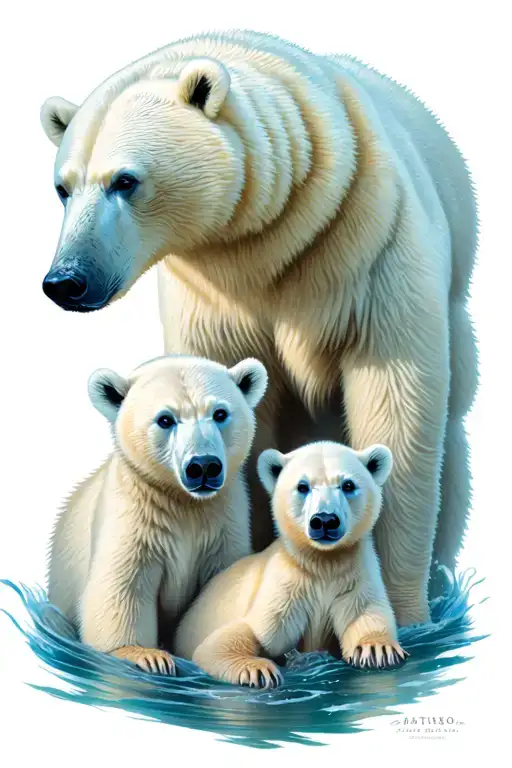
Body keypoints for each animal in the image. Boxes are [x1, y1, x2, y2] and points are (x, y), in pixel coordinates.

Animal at [40, 30, 478, 626]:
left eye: (124, 181)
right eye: (63, 188)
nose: (66, 281)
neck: (272, 240)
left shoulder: (372, 249)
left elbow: (396, 396)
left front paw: (403, 611)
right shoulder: (214, 293)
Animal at [47, 353, 267, 674]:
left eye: (220, 413)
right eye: (165, 419)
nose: (203, 466)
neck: (184, 502)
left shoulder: (224, 523)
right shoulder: (136, 516)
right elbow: (122, 584)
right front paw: (143, 655)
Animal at [174, 440, 407, 688]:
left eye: (348, 484)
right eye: (302, 486)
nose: (325, 520)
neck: (323, 562)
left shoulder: (354, 574)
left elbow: (363, 613)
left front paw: (377, 649)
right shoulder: (287, 588)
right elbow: (238, 636)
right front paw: (258, 669)